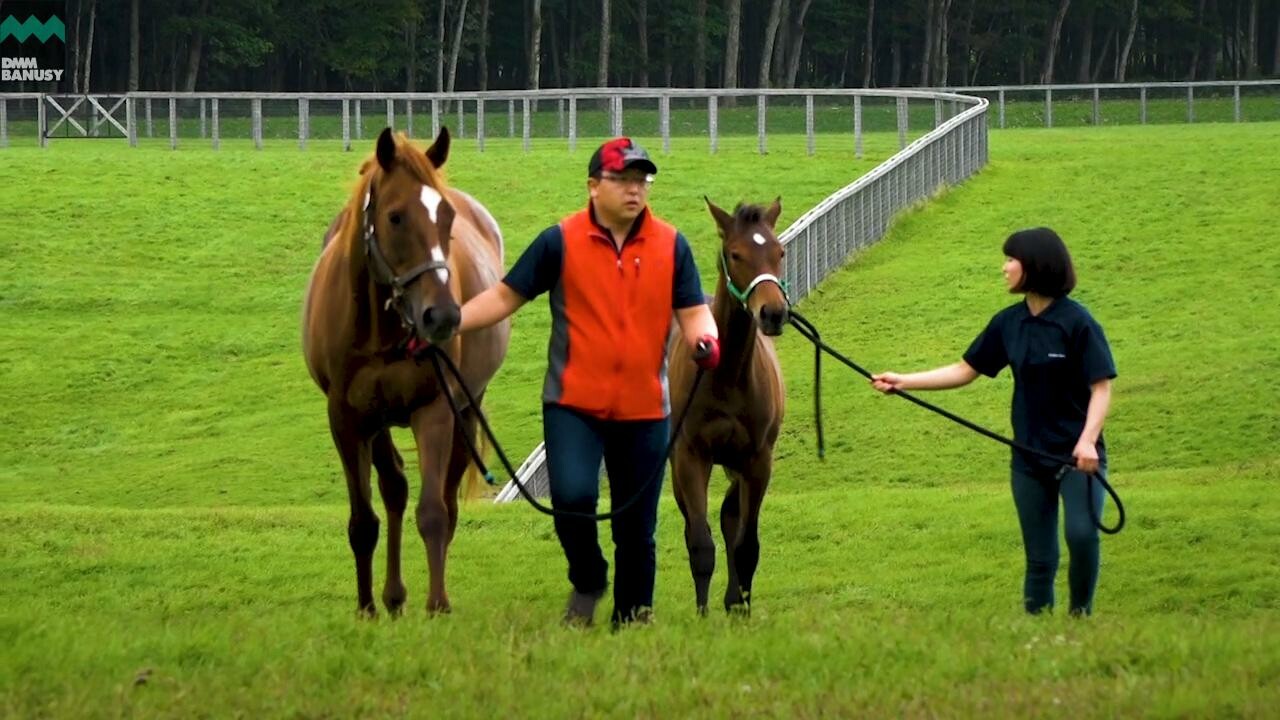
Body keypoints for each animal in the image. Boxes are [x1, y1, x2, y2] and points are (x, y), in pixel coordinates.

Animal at [304, 127, 509, 609]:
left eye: (447, 217)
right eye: (396, 217)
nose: (443, 316)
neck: (379, 329)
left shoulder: (434, 410)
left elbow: (433, 513)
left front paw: (437, 606)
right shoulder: (347, 419)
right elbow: (364, 519)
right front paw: (367, 609)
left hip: (466, 410)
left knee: (446, 501)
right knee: (394, 488)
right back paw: (393, 597)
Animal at [670, 198, 788, 614]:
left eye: (779, 251)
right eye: (736, 254)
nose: (773, 313)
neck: (727, 376)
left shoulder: (757, 459)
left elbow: (745, 543)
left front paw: (741, 609)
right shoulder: (691, 455)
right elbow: (700, 543)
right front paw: (702, 616)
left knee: (730, 517)